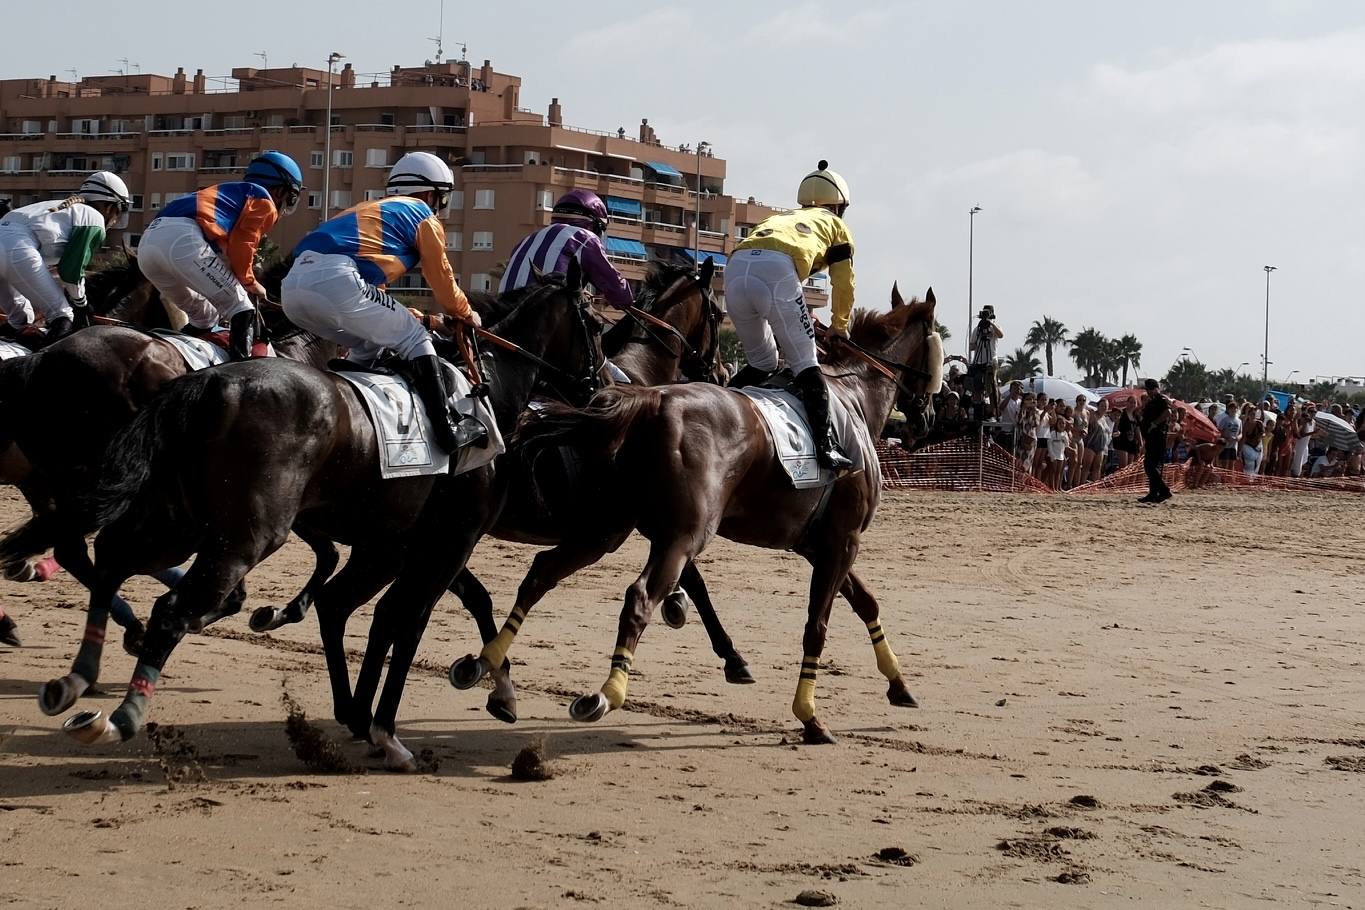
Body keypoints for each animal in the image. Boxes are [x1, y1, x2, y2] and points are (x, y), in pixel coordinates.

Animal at [55, 263, 606, 769]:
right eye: (597, 326)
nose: (599, 385)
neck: (482, 392)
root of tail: (201, 384)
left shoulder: (392, 544)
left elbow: (361, 609)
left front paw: (363, 714)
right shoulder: (449, 541)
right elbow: (407, 620)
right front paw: (388, 729)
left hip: (179, 521)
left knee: (110, 556)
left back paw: (78, 679)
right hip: (246, 535)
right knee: (168, 606)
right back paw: (122, 713)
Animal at [485, 287, 944, 742]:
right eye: (935, 355)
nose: (926, 419)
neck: (854, 397)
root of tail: (649, 400)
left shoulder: (820, 543)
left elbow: (866, 603)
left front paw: (899, 683)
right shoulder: (843, 540)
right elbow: (817, 624)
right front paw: (810, 715)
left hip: (607, 527)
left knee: (542, 572)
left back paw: (486, 661)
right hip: (683, 534)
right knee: (638, 597)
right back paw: (605, 693)